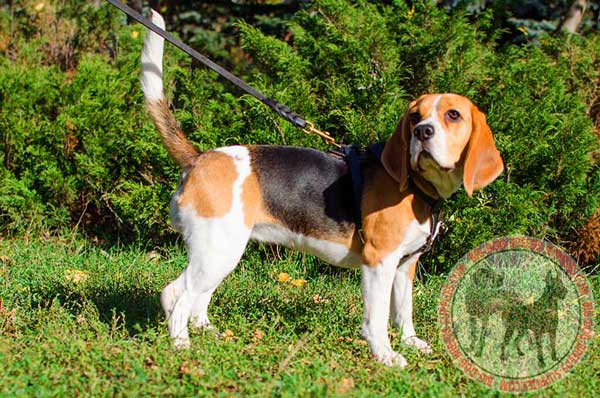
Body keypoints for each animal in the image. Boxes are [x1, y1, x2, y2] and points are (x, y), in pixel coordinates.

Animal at [143, 10, 504, 366]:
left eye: (453, 115)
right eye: (415, 117)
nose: (422, 132)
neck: (418, 188)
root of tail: (199, 158)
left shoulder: (405, 265)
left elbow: (404, 311)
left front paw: (411, 342)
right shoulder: (379, 261)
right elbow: (376, 319)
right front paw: (385, 355)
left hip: (221, 251)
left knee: (194, 297)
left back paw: (207, 332)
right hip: (218, 249)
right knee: (176, 294)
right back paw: (181, 345)